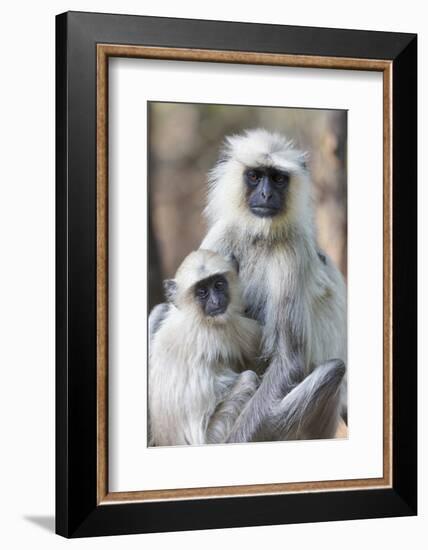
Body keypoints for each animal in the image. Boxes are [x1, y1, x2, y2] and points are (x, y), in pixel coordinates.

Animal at [147, 250, 260, 448]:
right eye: (202, 292)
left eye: (219, 285)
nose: (216, 301)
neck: (194, 317)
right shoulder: (230, 329)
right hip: (215, 435)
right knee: (248, 378)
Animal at [201, 130, 348, 444]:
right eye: (255, 176)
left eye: (278, 179)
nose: (267, 194)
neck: (260, 236)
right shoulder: (222, 234)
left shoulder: (292, 250)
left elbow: (289, 362)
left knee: (332, 370)